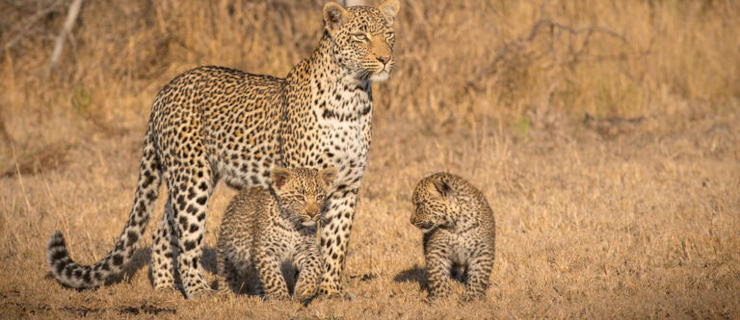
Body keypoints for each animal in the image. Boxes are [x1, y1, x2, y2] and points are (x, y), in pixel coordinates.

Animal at [44, 0, 398, 300]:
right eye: (361, 36)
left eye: (389, 35)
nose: (385, 59)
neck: (352, 98)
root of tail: (164, 90)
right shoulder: (300, 181)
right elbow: (306, 235)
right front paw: (301, 287)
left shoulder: (346, 186)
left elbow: (336, 242)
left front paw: (330, 291)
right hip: (192, 179)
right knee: (187, 238)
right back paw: (199, 291)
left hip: (188, 177)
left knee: (163, 229)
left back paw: (165, 287)